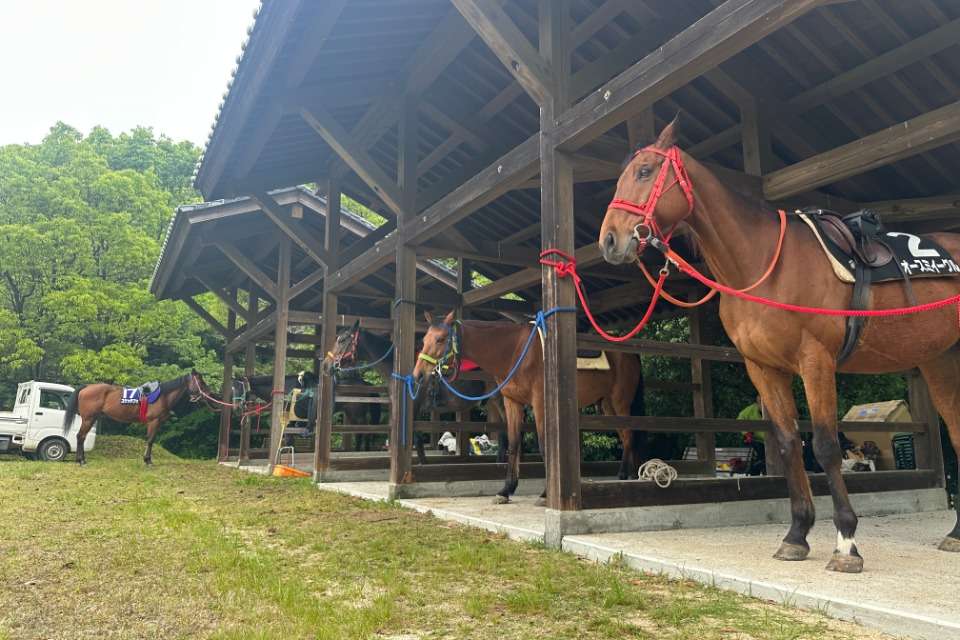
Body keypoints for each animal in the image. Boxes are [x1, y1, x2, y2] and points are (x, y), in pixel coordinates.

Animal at [63, 370, 212, 466]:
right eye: (200, 381)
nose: (209, 392)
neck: (163, 396)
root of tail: (87, 387)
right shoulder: (153, 422)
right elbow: (150, 440)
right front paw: (148, 460)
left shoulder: (157, 423)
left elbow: (151, 440)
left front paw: (147, 459)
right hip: (88, 419)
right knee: (80, 436)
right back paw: (81, 460)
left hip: (91, 419)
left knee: (81, 437)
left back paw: (81, 459)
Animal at [321, 320, 508, 463]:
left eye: (342, 340)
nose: (325, 365)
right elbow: (416, 438)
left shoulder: (414, 405)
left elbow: (417, 439)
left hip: (500, 399)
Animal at [412, 311, 646, 505]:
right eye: (424, 340)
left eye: (440, 339)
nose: (418, 375)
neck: (514, 352)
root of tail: (629, 353)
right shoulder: (512, 402)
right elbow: (514, 443)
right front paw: (506, 490)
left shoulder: (540, 403)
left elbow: (544, 446)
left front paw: (545, 494)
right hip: (607, 405)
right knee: (626, 435)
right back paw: (629, 474)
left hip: (620, 402)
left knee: (628, 435)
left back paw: (626, 475)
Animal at [598, 118, 960, 572]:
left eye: (645, 171)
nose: (609, 240)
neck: (763, 262)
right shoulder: (764, 368)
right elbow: (789, 446)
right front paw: (797, 535)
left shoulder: (816, 361)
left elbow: (824, 447)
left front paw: (846, 543)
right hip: (940, 362)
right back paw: (956, 534)